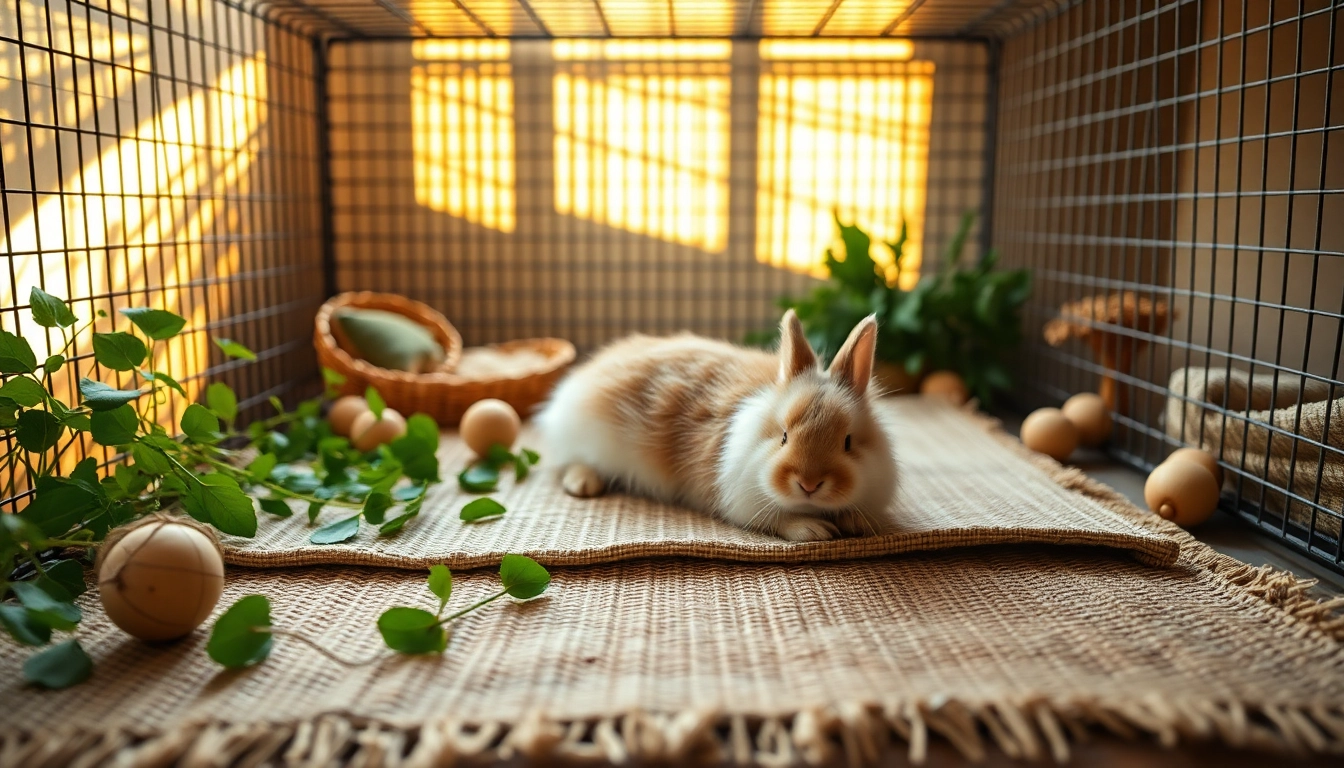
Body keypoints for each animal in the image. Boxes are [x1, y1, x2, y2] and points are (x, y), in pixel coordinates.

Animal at [534, 310, 899, 541]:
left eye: (848, 442)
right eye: (783, 436)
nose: (809, 484)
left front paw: (857, 524)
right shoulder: (744, 501)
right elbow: (779, 521)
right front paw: (817, 531)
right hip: (587, 439)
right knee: (572, 462)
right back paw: (584, 485)